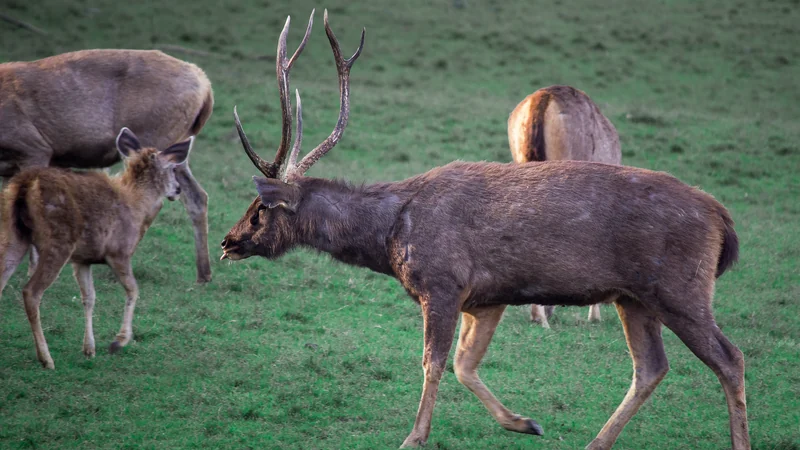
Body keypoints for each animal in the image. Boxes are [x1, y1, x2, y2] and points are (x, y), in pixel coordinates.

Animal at [0, 49, 213, 283]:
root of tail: (205, 84)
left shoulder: (34, 147)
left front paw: (32, 269)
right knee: (197, 196)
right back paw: (203, 275)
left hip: (158, 139)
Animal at [0, 128, 192, 369]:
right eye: (173, 169)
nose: (178, 189)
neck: (138, 207)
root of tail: (25, 184)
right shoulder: (119, 251)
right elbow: (133, 289)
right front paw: (118, 341)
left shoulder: (83, 259)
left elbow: (89, 297)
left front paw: (89, 349)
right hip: (58, 241)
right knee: (31, 292)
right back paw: (46, 359)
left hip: (14, 235)